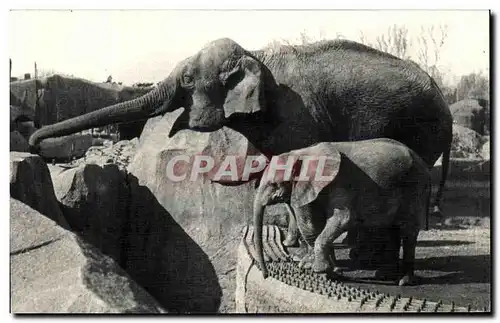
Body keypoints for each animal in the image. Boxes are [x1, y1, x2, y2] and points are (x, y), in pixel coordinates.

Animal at [30, 37, 454, 215]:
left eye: (187, 80)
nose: (34, 144)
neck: (257, 53)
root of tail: (445, 103)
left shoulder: (298, 115)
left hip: (420, 127)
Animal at [252, 139, 432, 286]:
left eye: (273, 184)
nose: (265, 276)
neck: (301, 153)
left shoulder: (341, 182)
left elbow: (343, 218)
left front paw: (320, 270)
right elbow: (312, 224)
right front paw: (328, 270)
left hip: (415, 187)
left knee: (407, 231)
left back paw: (404, 281)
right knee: (391, 229)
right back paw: (384, 276)